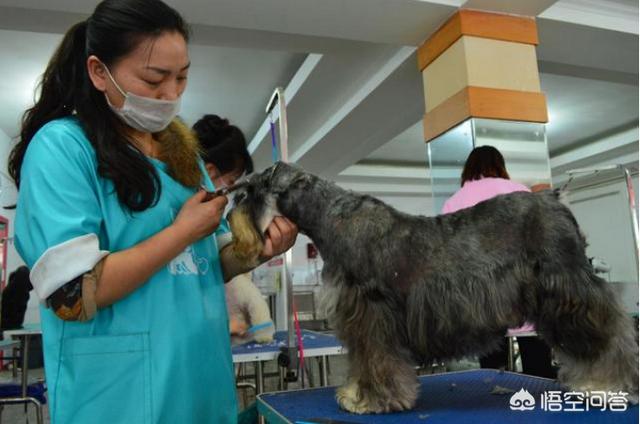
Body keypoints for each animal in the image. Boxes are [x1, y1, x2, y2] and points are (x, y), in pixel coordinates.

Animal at [228, 161, 636, 414]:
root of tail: (554, 198)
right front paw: (355, 394)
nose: (229, 210)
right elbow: (363, 362)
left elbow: (376, 361)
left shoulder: (372, 313)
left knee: (610, 336)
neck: (330, 218)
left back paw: (607, 384)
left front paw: (371, 400)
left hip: (568, 293)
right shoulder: (361, 319)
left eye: (253, 189)